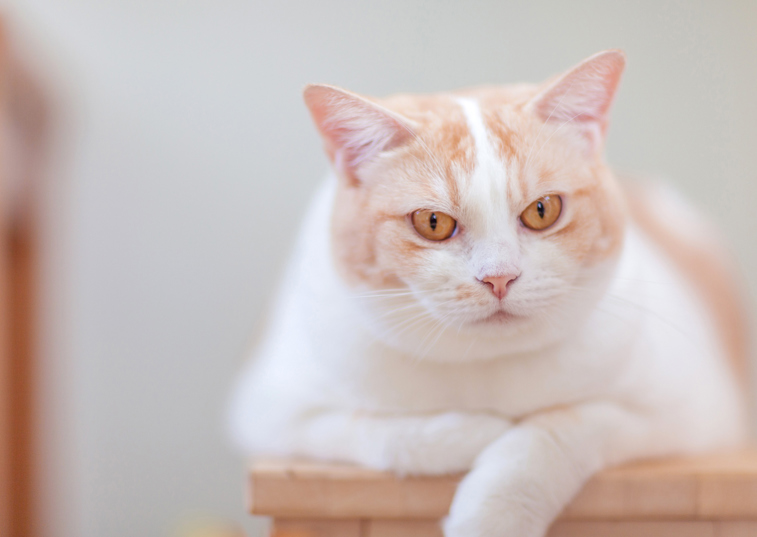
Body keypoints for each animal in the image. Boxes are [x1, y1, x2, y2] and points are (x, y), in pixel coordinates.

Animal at [227, 51, 748, 536]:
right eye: (432, 222)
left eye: (543, 210)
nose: (499, 277)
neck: (485, 368)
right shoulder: (274, 411)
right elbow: (382, 434)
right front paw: (477, 431)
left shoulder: (686, 413)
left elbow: (556, 430)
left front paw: (495, 511)